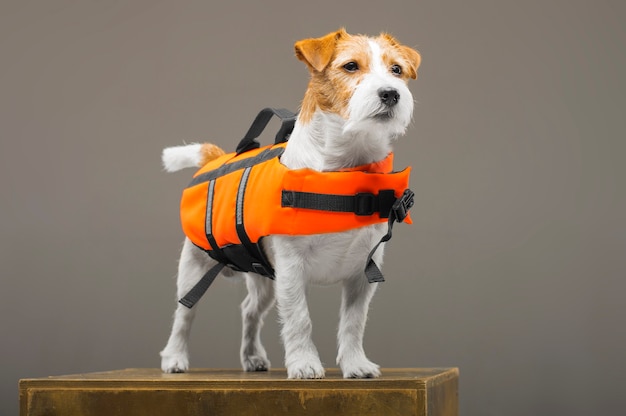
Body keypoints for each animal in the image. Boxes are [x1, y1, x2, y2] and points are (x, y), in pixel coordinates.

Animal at [160, 27, 420, 378]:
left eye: (397, 70)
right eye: (351, 66)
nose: (391, 93)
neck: (346, 169)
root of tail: (218, 158)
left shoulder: (362, 275)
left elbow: (353, 322)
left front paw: (355, 363)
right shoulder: (291, 270)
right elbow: (299, 319)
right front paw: (304, 363)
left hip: (264, 280)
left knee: (249, 310)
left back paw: (252, 357)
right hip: (194, 266)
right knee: (184, 313)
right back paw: (174, 357)